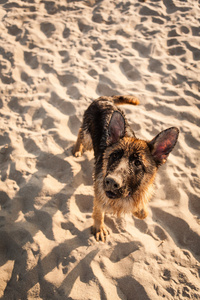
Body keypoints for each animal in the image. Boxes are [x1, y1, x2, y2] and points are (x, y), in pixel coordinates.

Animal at [72, 96, 179, 241]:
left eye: (138, 163)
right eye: (114, 156)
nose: (111, 182)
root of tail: (104, 98)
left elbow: (141, 210)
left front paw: (139, 210)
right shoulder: (100, 194)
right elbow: (99, 211)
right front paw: (99, 228)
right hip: (88, 136)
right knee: (80, 133)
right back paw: (77, 149)